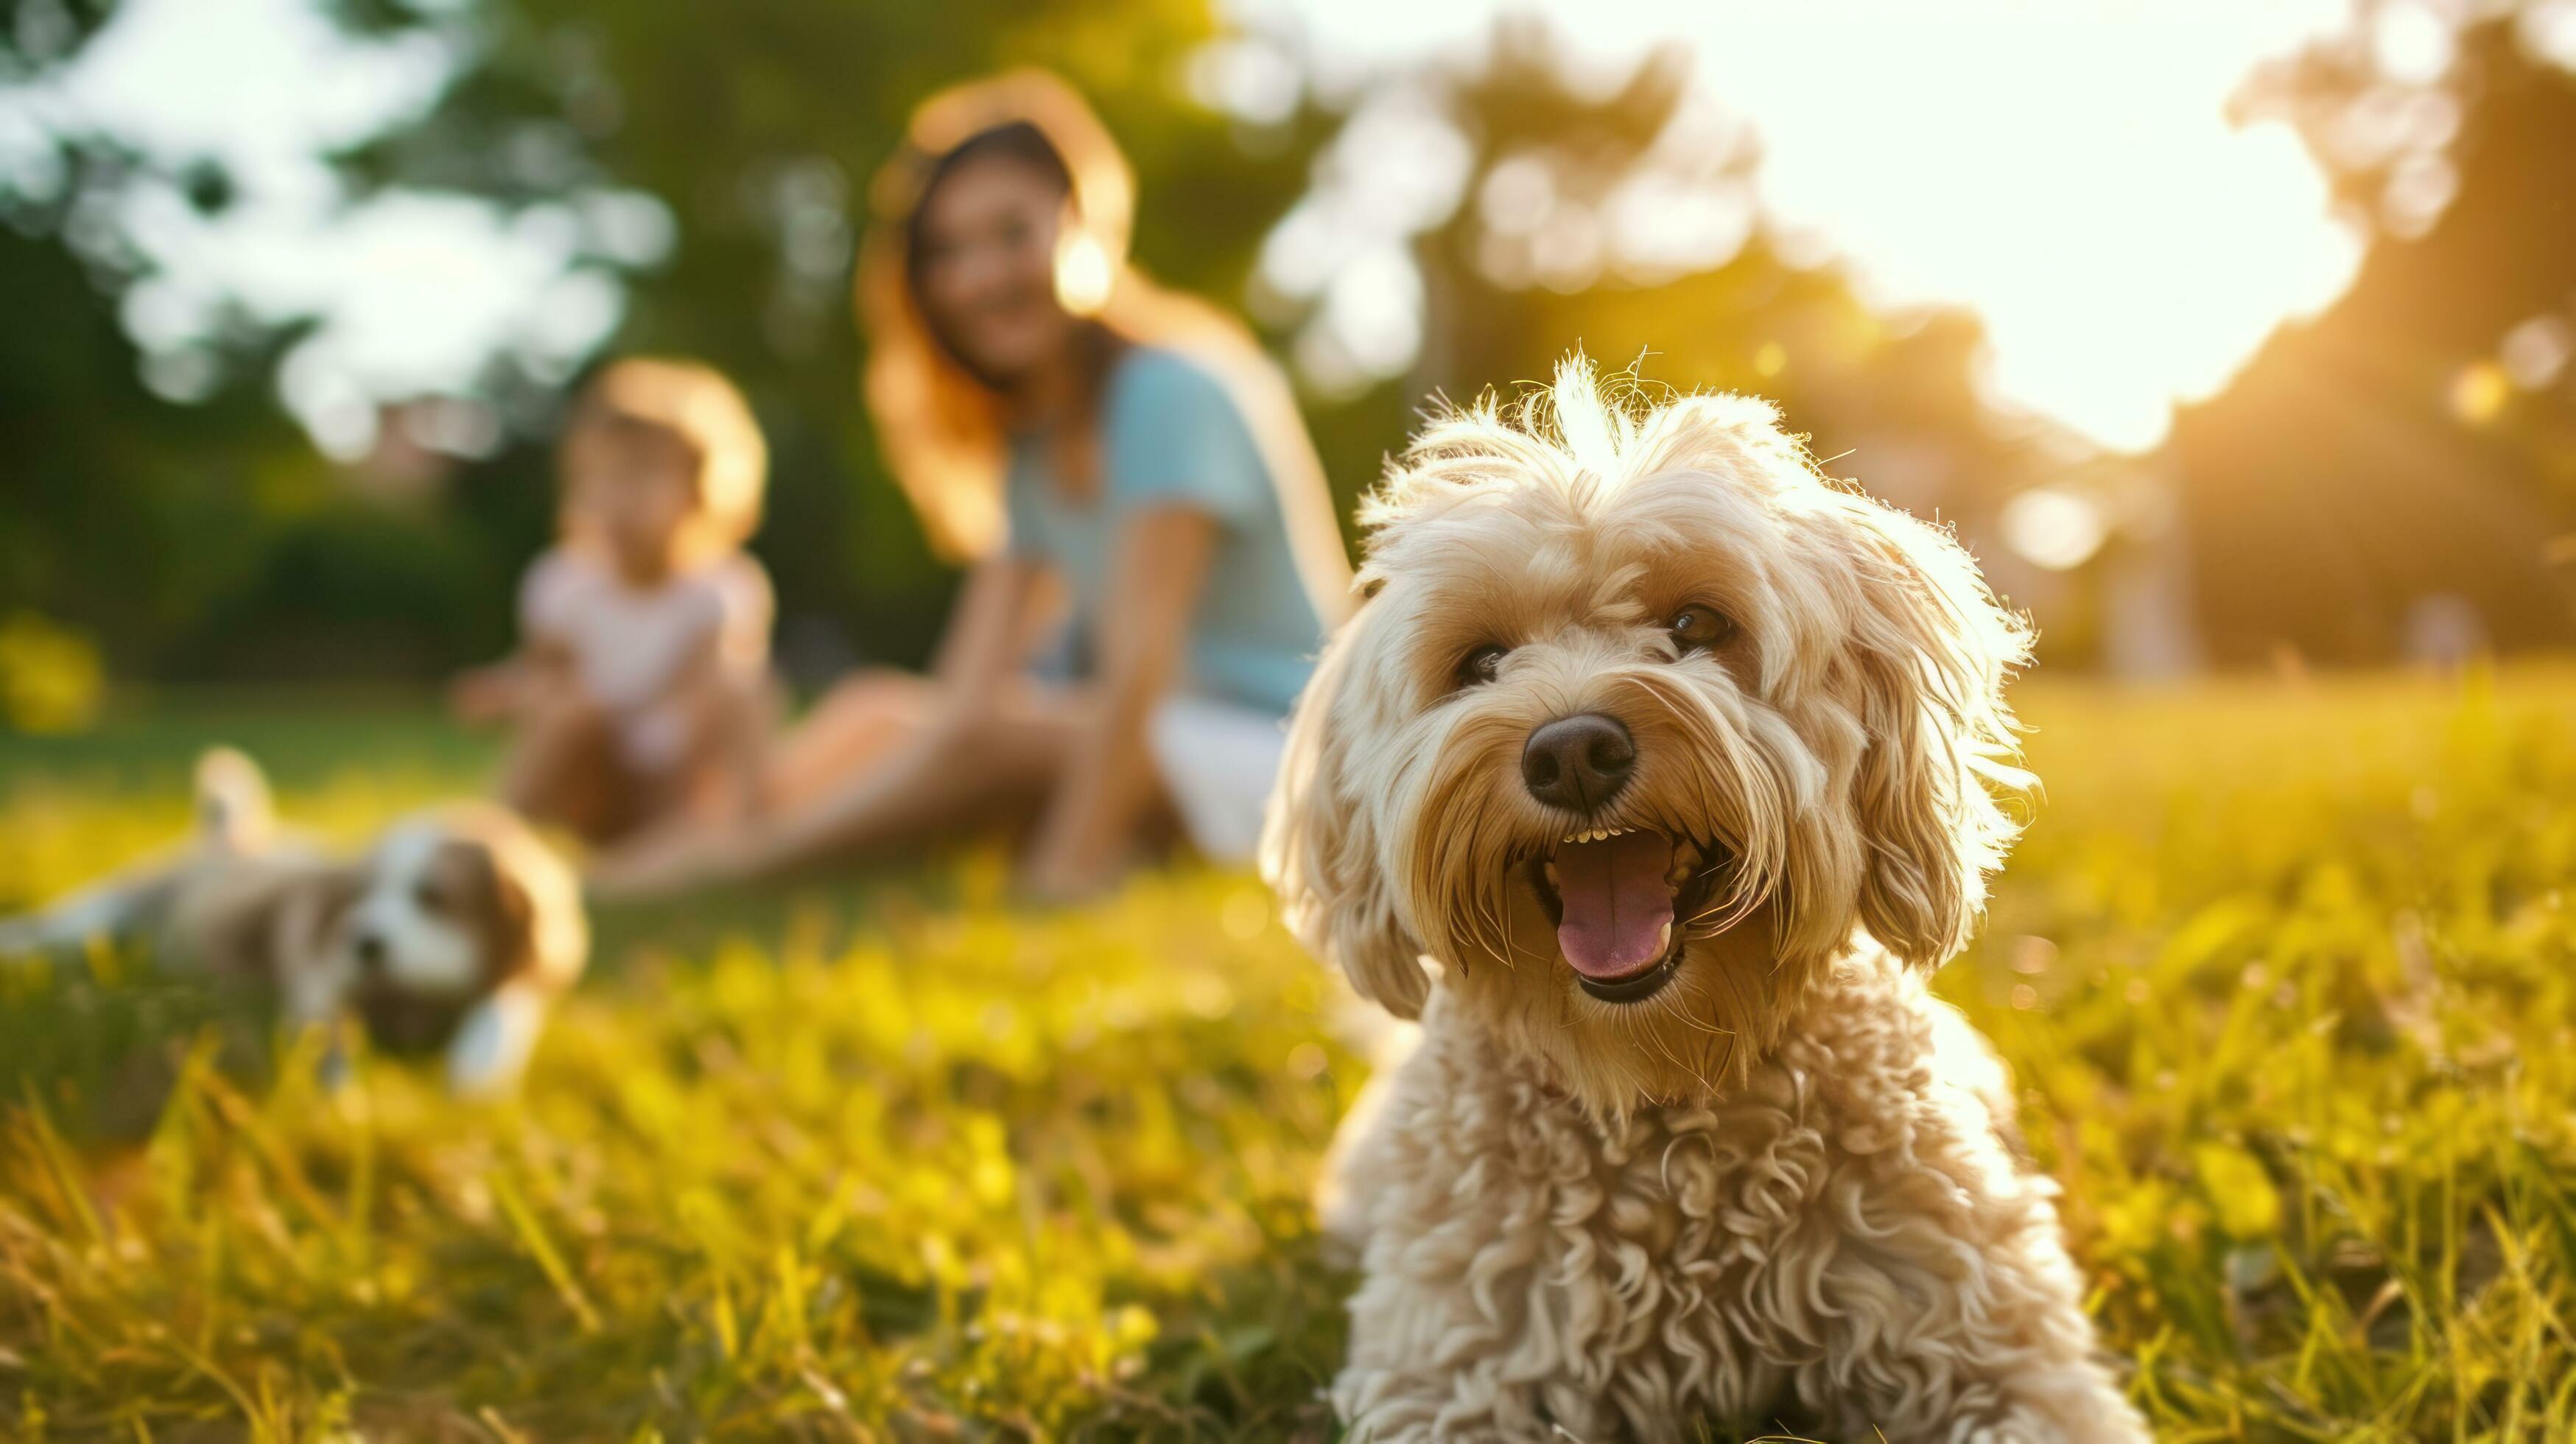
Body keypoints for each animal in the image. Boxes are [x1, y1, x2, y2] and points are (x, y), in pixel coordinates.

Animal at [1257, 363, 2143, 1444]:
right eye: (1479, 663)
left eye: (1695, 628)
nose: (1571, 751)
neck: (1663, 1089)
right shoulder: (1457, 1366)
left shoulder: (2000, 1349)